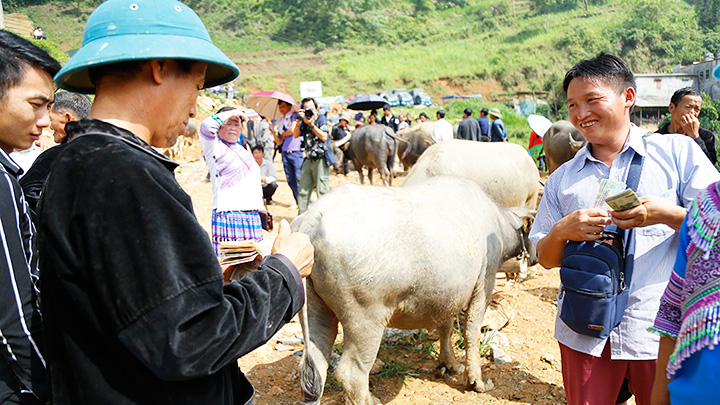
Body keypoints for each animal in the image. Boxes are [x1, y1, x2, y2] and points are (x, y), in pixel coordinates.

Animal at [292, 176, 536, 404]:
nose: (534, 258)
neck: (497, 224)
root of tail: (313, 217)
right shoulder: (484, 281)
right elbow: (471, 332)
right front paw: (476, 380)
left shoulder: (447, 295)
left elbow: (445, 328)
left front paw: (450, 363)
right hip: (365, 319)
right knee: (351, 373)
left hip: (315, 311)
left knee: (315, 369)